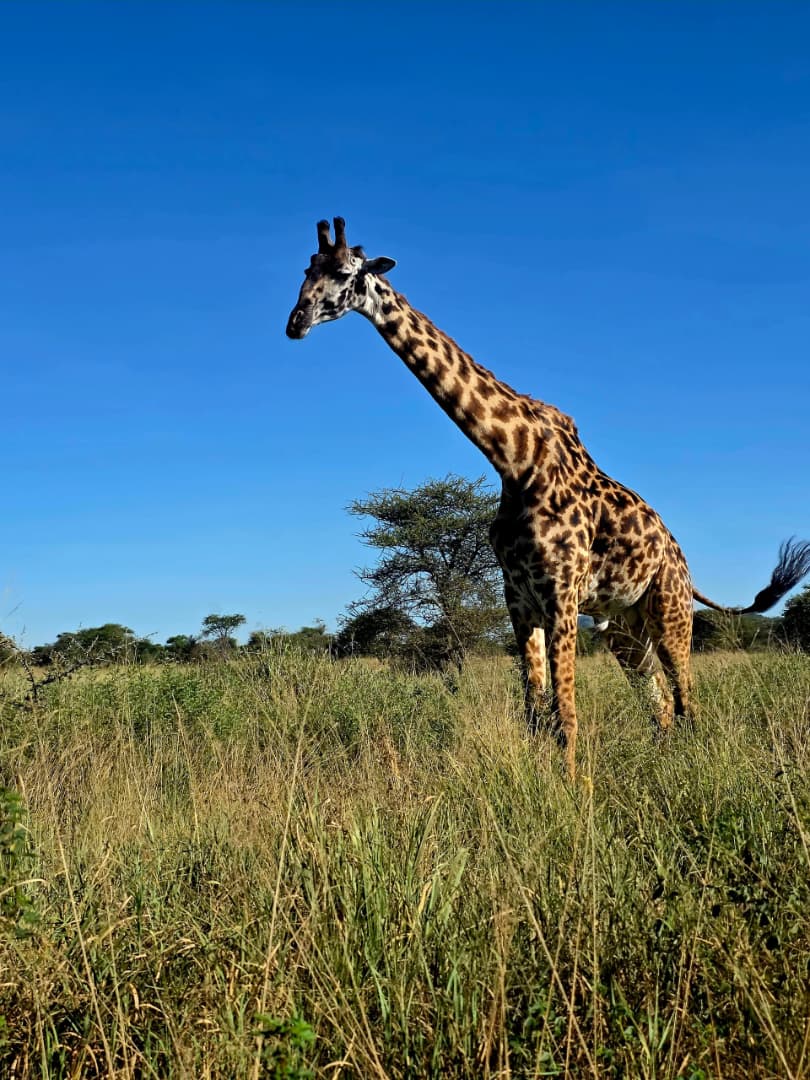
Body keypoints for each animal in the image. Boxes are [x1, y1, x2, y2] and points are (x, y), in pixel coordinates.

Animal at [286, 217, 810, 777]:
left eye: (345, 272)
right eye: (306, 270)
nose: (295, 322)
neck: (514, 459)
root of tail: (682, 561)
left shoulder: (560, 594)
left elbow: (566, 714)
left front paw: (574, 787)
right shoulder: (519, 598)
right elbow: (535, 713)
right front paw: (544, 783)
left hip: (669, 612)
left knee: (686, 696)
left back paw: (692, 768)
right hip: (623, 628)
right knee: (660, 704)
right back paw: (665, 765)